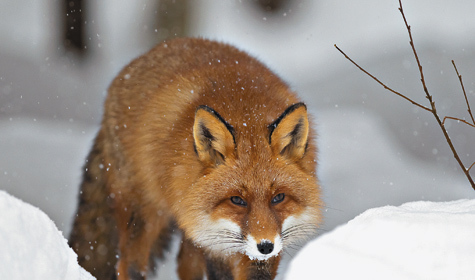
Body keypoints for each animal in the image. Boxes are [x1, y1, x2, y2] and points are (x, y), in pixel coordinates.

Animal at [69, 37, 322, 280]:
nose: (266, 246)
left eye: (278, 197)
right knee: (126, 265)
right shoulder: (213, 239)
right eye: (237, 200)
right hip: (145, 212)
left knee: (184, 265)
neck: (247, 111)